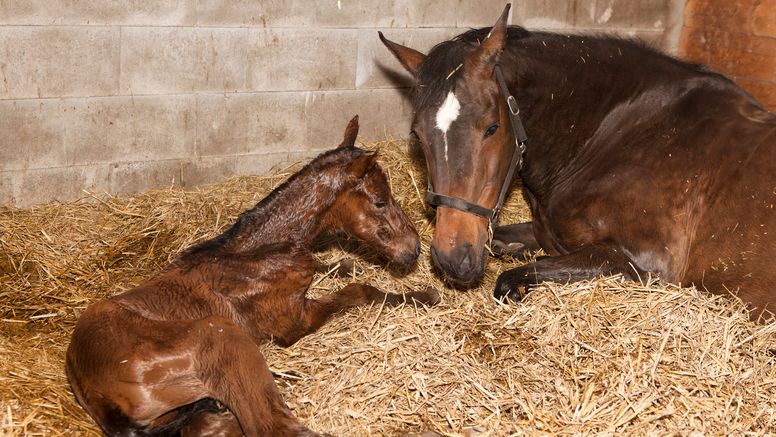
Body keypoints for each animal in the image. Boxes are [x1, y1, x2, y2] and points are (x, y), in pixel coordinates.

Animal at [65, 116, 442, 436]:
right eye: (380, 201)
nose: (414, 248)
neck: (256, 254)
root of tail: (90, 388)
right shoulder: (295, 322)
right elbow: (359, 292)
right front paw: (423, 296)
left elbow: (331, 268)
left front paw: (348, 265)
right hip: (221, 335)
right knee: (271, 425)